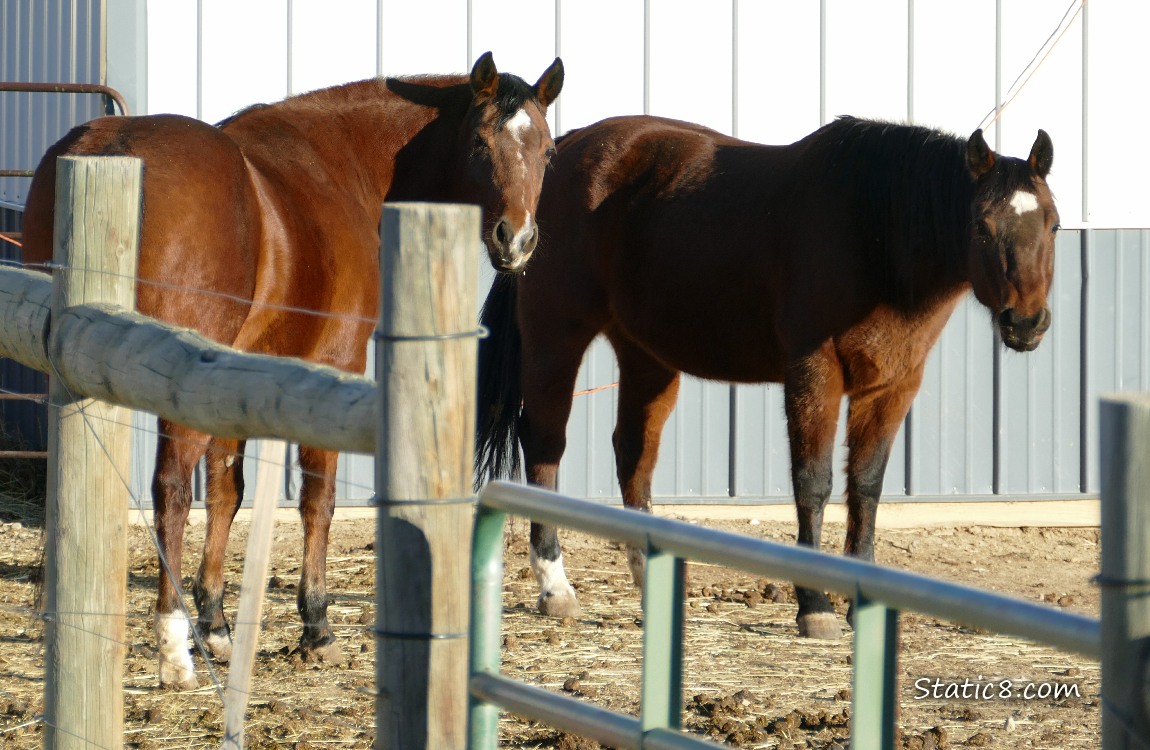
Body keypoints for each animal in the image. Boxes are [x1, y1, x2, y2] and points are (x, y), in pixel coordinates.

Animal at [21, 52, 563, 688]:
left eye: (548, 151)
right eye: (480, 142)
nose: (516, 239)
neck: (343, 164)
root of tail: (112, 148)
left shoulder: (229, 373)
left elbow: (227, 490)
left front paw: (217, 625)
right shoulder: (331, 363)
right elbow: (315, 499)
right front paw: (316, 624)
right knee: (171, 491)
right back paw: (173, 648)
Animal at [475, 114, 1058, 639]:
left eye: (1052, 223)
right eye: (981, 225)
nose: (1026, 322)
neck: (872, 233)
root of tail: (568, 147)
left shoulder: (892, 386)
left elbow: (866, 487)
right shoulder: (814, 374)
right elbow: (814, 483)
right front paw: (814, 606)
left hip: (645, 355)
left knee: (633, 455)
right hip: (557, 336)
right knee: (546, 445)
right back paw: (555, 587)